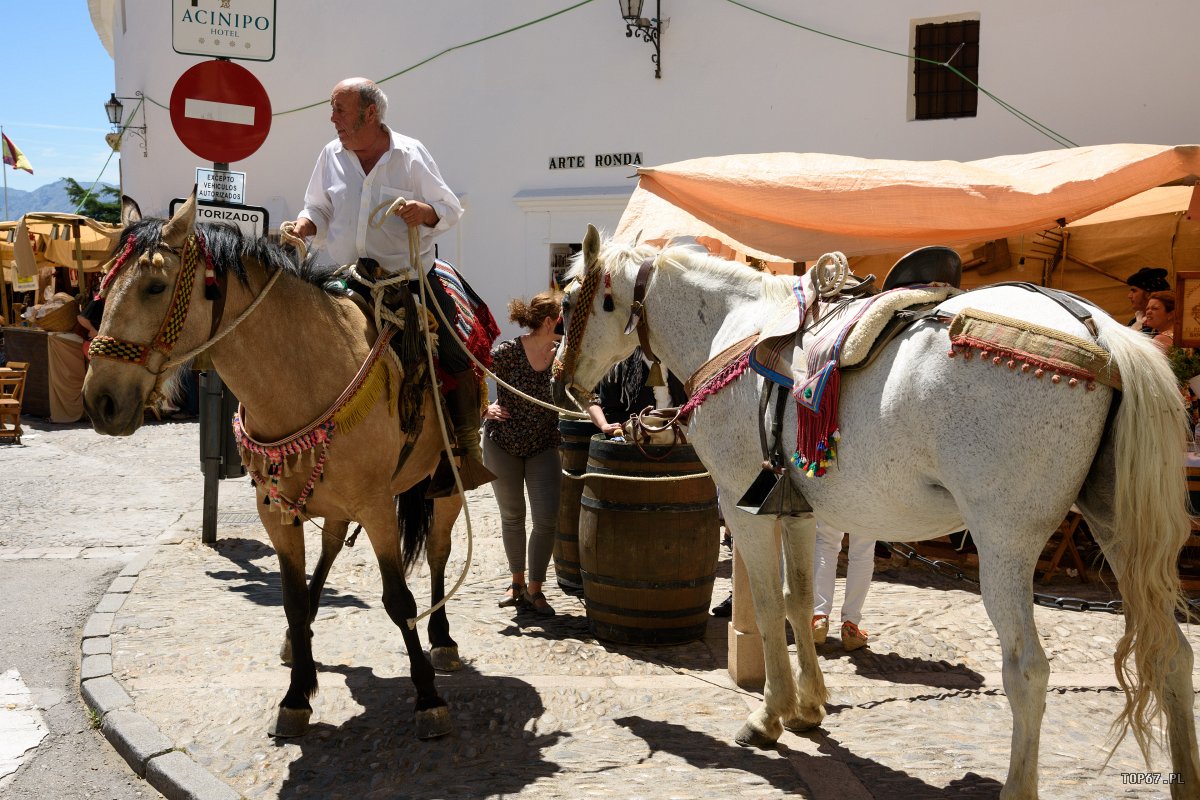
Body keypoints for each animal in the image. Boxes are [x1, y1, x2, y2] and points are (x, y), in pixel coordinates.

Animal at [82, 190, 465, 743]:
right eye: (101, 290)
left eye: (155, 286)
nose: (101, 401)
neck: (307, 370)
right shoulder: (276, 511)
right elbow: (293, 598)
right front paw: (296, 695)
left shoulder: (376, 507)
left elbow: (399, 600)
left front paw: (428, 698)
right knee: (331, 546)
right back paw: (296, 640)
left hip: (447, 482)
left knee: (437, 552)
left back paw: (442, 638)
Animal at [552, 225, 1200, 800]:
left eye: (566, 298)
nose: (561, 378)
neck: (732, 328)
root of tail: (1101, 332)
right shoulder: (798, 512)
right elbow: (798, 601)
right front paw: (810, 706)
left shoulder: (743, 508)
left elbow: (768, 607)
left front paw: (771, 716)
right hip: (1117, 532)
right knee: (1172, 654)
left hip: (1005, 545)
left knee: (1027, 670)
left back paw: (1019, 786)